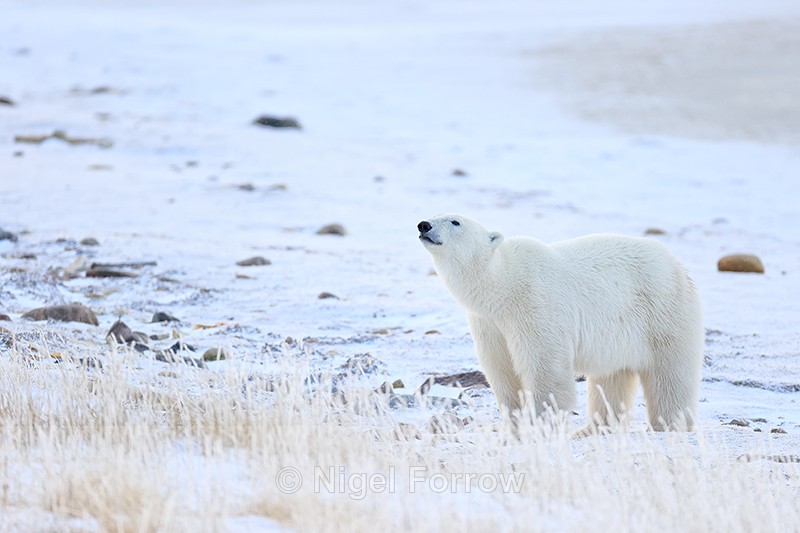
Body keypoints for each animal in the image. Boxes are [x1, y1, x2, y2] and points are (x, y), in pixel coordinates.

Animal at [417, 213, 703, 432]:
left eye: (455, 221)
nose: (424, 225)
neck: (504, 286)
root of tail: (677, 265)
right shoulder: (489, 323)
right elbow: (502, 370)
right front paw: (514, 424)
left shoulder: (535, 306)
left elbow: (545, 368)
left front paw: (540, 423)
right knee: (611, 378)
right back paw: (594, 429)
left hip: (662, 313)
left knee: (670, 375)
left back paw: (668, 424)